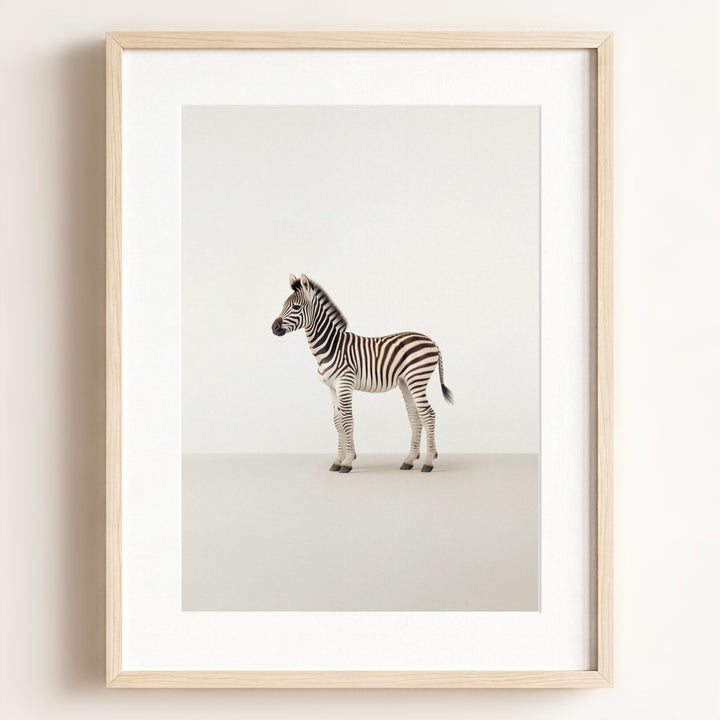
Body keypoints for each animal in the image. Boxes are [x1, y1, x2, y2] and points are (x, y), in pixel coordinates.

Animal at [271, 273, 454, 473]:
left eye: (296, 307)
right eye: (283, 305)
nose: (274, 328)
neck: (330, 346)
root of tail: (432, 341)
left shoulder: (344, 383)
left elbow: (347, 419)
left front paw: (348, 461)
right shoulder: (331, 387)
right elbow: (337, 421)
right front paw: (338, 460)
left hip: (417, 378)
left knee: (428, 414)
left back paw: (428, 462)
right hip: (406, 382)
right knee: (415, 416)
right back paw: (409, 460)